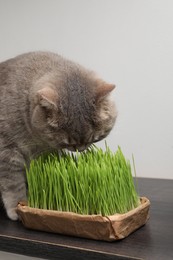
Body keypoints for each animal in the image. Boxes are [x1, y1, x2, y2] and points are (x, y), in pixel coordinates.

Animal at [0, 51, 117, 221]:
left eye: (94, 138)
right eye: (67, 143)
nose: (80, 149)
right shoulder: (6, 151)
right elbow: (13, 183)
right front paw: (18, 206)